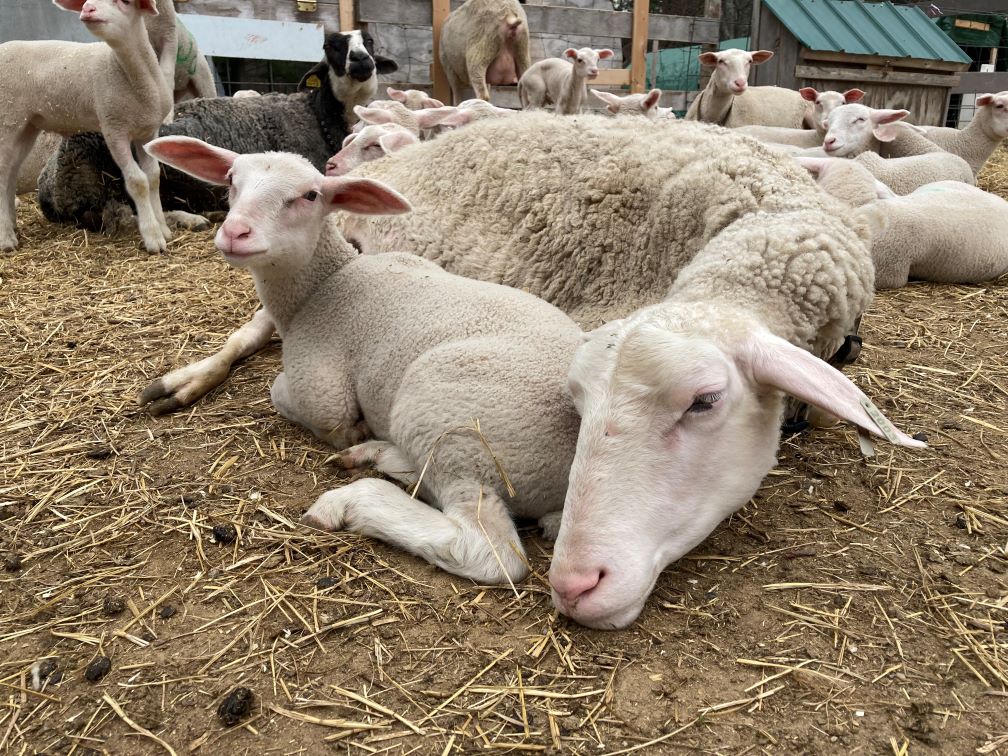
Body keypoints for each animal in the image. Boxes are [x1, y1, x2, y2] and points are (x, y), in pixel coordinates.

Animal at [0, 0, 171, 255]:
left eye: (125, 2)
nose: (88, 8)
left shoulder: (148, 132)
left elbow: (153, 177)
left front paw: (164, 228)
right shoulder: (114, 130)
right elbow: (138, 181)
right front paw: (153, 236)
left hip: (26, 125)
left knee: (11, 171)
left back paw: (11, 226)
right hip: (6, 119)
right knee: (2, 173)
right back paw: (5, 238)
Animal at [32, 29, 393, 229]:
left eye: (370, 41)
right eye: (332, 46)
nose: (362, 61)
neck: (317, 115)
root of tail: (47, 181)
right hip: (93, 184)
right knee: (115, 216)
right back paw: (188, 220)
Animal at [143, 136, 584, 584]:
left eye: (310, 195)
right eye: (232, 180)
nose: (235, 232)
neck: (325, 284)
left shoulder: (322, 390)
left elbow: (286, 397)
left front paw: (351, 435)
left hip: (449, 420)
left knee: (487, 550)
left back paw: (351, 501)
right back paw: (381, 456)